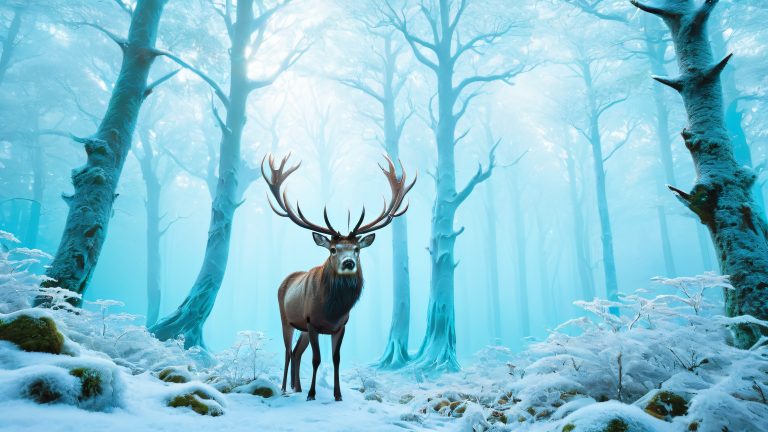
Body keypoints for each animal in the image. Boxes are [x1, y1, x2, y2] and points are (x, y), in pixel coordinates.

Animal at [261, 153, 415, 401]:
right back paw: (285, 389)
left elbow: (336, 359)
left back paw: (297, 387)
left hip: (302, 328)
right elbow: (316, 359)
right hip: (287, 319)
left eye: (357, 249)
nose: (348, 263)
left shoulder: (341, 326)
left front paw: (337, 394)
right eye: (333, 249)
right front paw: (312, 394)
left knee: (296, 352)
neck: (331, 310)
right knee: (287, 350)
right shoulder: (311, 321)